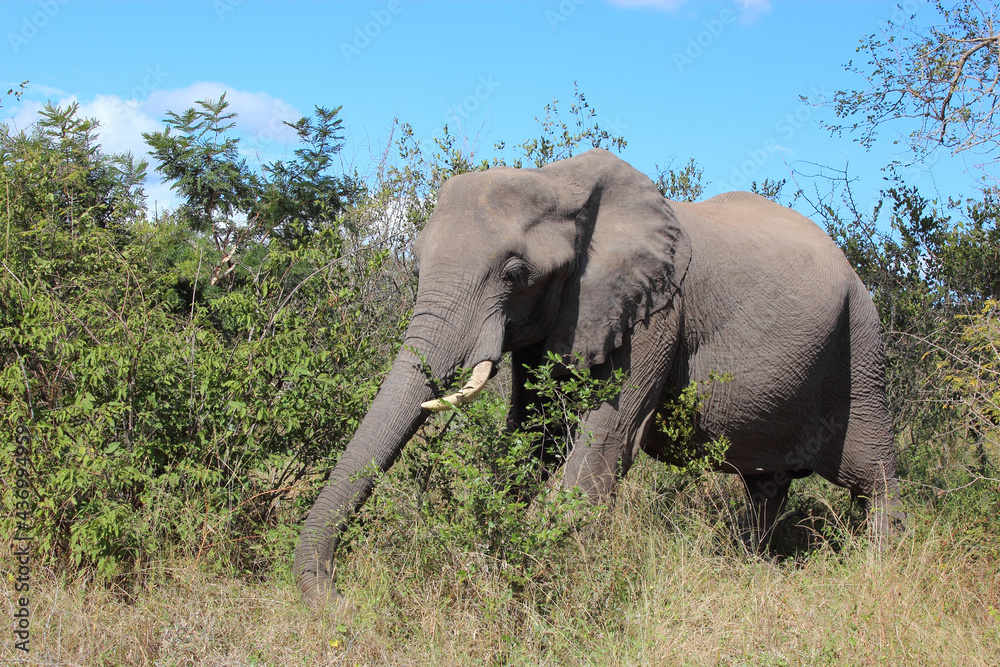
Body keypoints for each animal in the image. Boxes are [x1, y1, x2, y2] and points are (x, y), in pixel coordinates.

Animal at [292, 148, 903, 607]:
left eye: (515, 274)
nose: (341, 600)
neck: (561, 182)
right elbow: (535, 436)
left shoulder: (657, 314)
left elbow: (604, 442)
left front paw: (523, 580)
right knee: (766, 484)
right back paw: (753, 565)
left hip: (860, 342)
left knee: (870, 472)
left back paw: (879, 570)